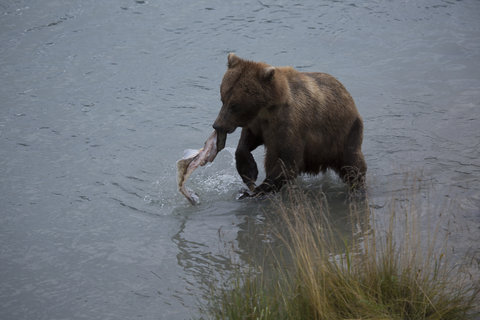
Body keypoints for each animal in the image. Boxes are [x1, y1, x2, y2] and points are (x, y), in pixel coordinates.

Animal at [212, 53, 366, 196]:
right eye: (223, 99)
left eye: (235, 105)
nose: (217, 125)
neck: (268, 109)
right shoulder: (260, 123)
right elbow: (248, 141)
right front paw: (249, 170)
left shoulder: (291, 124)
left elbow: (289, 159)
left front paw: (259, 189)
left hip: (345, 132)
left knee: (352, 162)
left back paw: (358, 187)